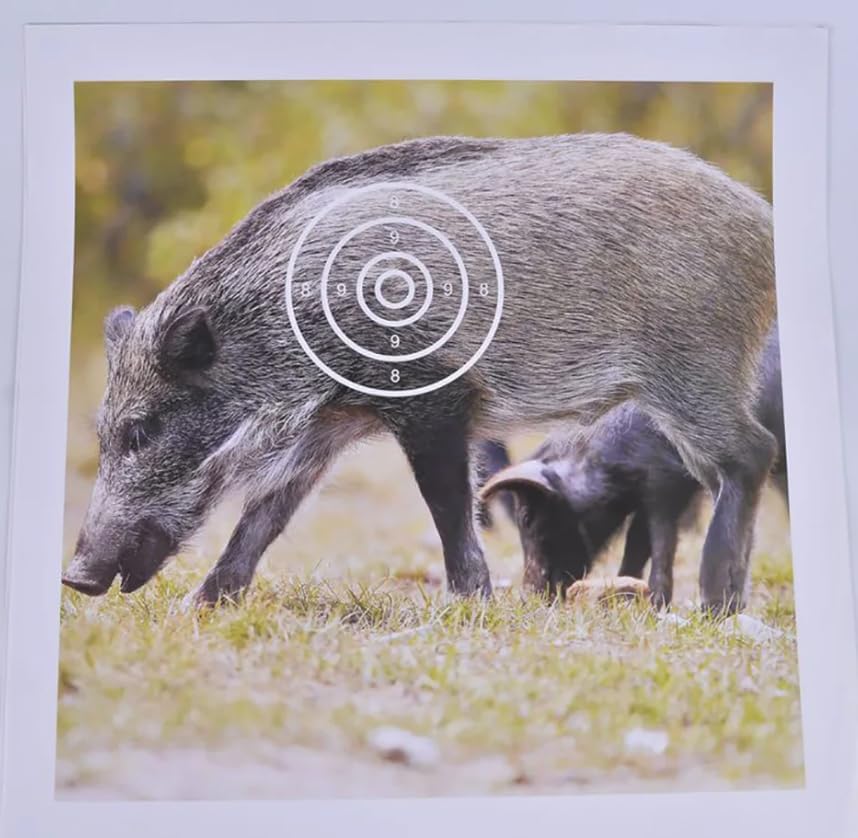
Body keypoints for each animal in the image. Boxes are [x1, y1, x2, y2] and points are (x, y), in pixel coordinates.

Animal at [480, 325, 786, 607]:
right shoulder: (645, 497)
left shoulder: (666, 486)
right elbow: (637, 544)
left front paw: (657, 603)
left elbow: (659, 543)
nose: (527, 597)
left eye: (526, 518)